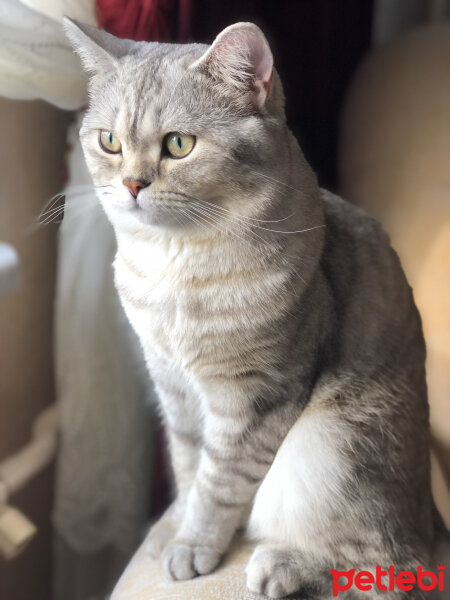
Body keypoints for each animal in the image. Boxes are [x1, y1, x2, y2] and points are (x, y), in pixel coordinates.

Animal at [65, 19, 442, 600]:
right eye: (110, 142)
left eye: (179, 145)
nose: (131, 184)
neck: (174, 267)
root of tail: (433, 521)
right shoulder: (173, 385)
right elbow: (188, 466)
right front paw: (175, 526)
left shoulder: (257, 396)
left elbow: (219, 484)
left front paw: (193, 547)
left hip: (332, 450)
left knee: (389, 567)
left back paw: (280, 567)